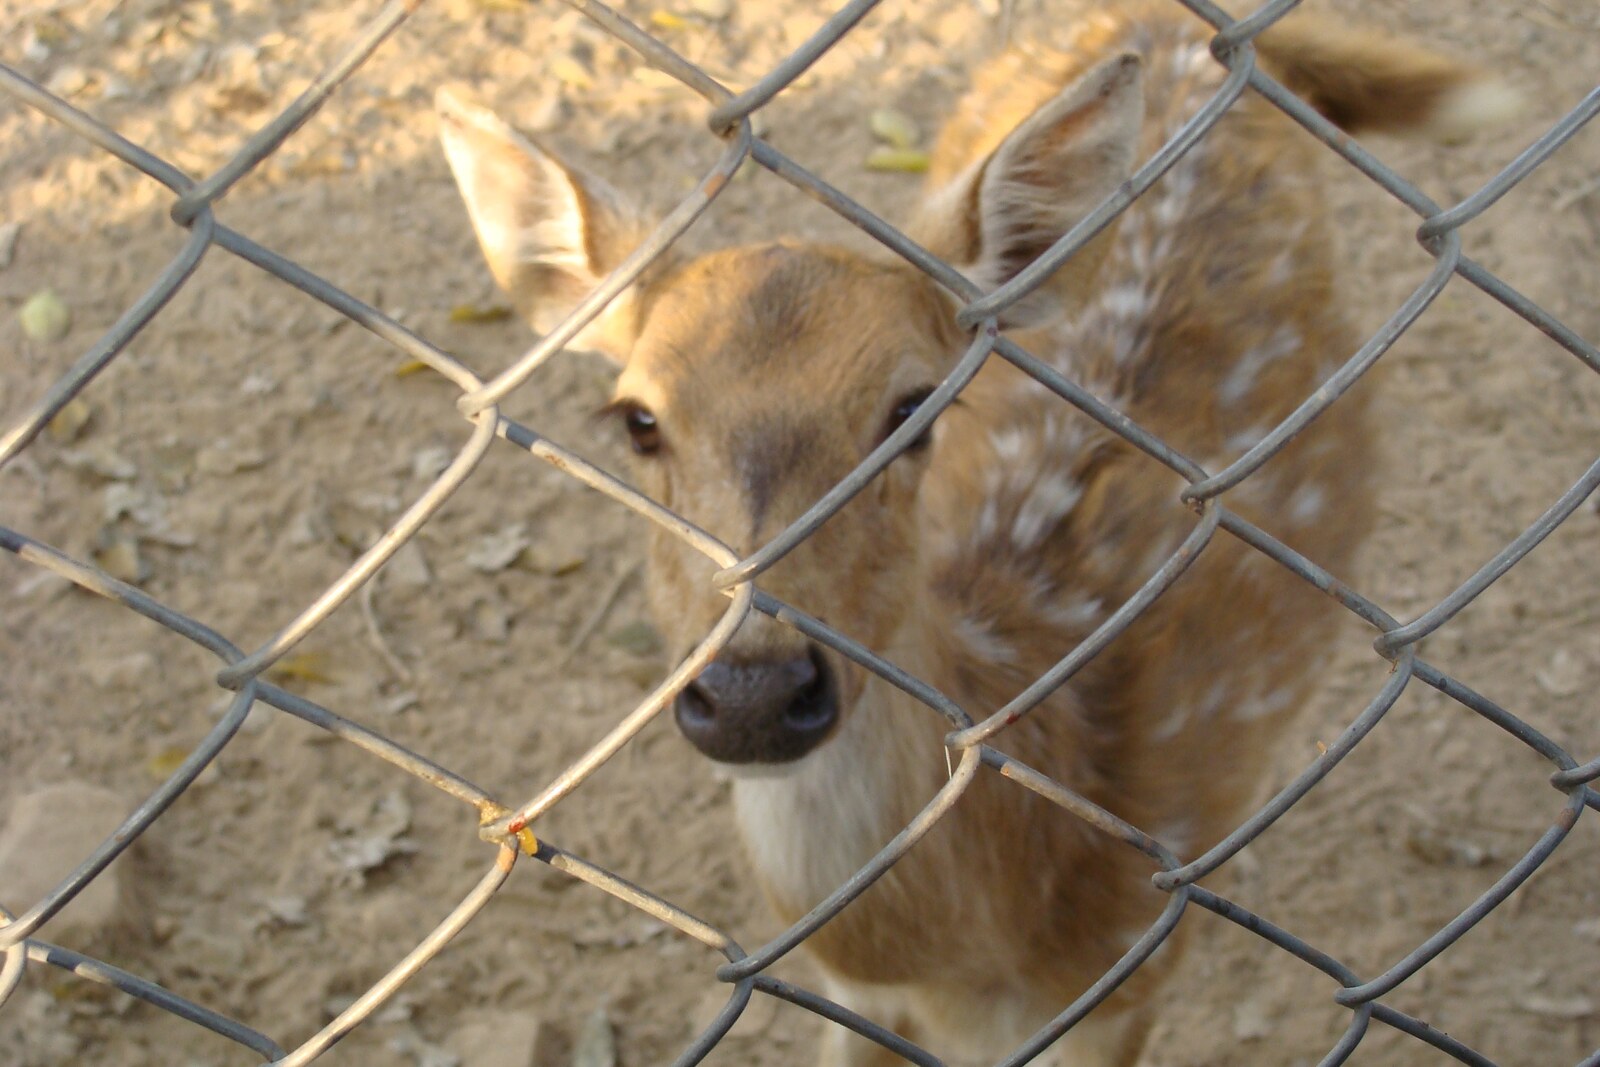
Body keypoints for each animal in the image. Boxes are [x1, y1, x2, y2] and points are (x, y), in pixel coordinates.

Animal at [437, 5, 1514, 1064]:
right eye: (637, 418)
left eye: (913, 409)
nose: (753, 693)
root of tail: (1179, 30)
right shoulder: (860, 999)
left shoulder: (1128, 977)